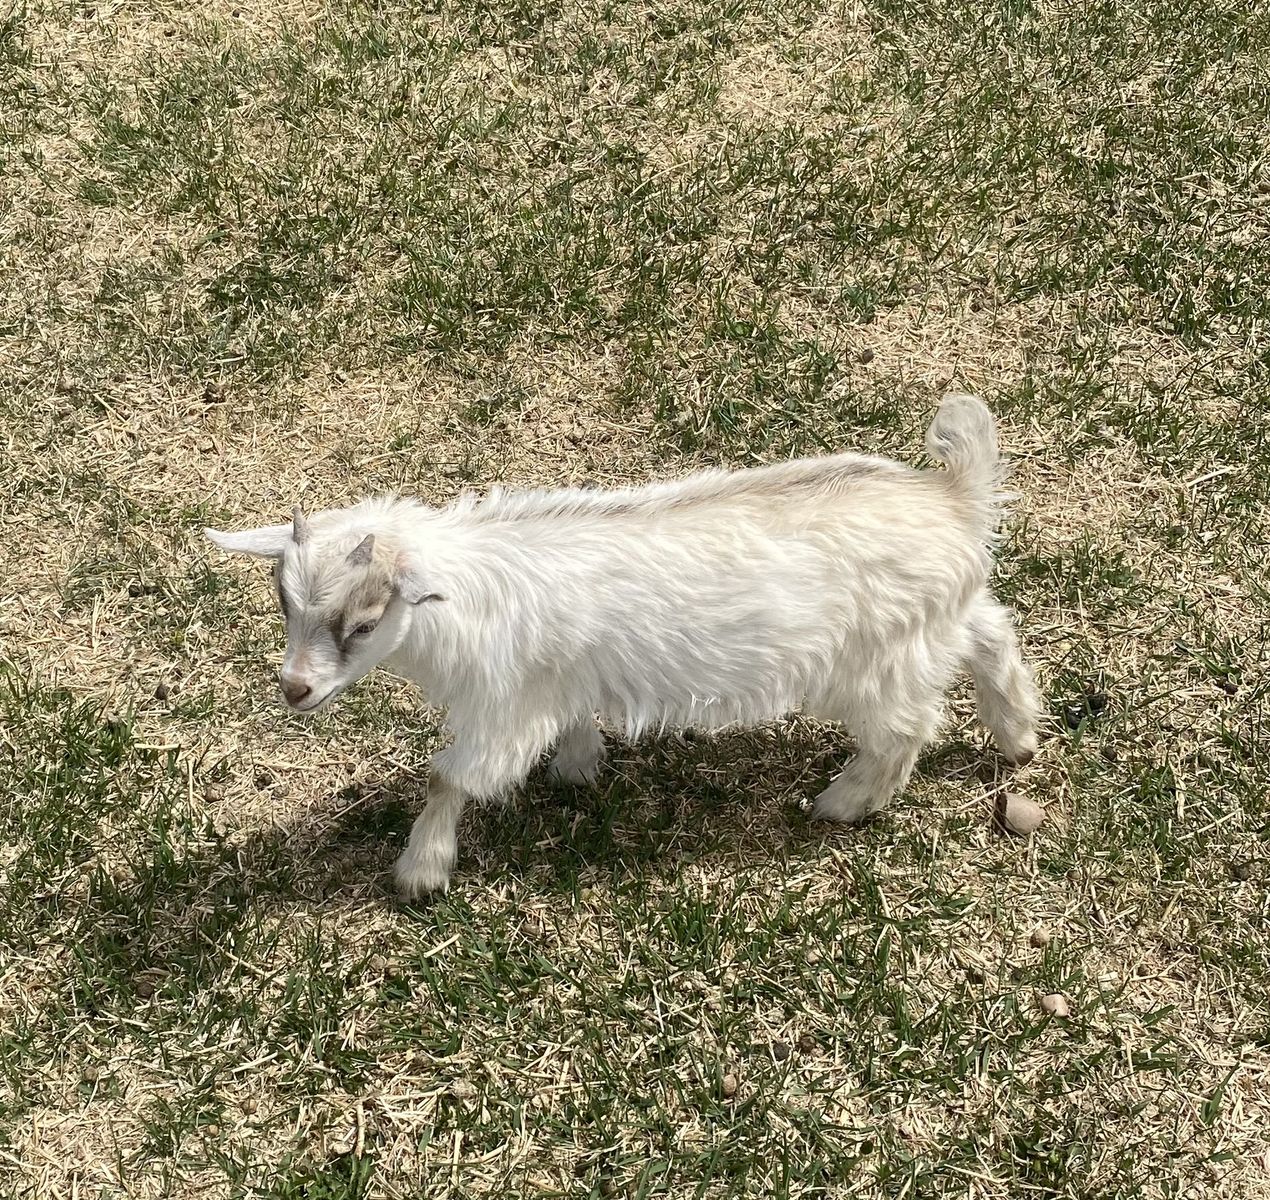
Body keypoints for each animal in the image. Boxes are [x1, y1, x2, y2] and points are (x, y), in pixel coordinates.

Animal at [206, 393, 1040, 896]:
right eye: (283, 604)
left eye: (364, 623)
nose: (295, 689)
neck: (457, 599)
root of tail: (952, 498)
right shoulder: (553, 680)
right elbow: (570, 718)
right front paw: (580, 765)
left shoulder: (503, 708)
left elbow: (452, 778)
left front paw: (420, 869)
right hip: (933, 618)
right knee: (990, 629)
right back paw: (1020, 731)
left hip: (878, 657)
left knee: (904, 728)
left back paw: (844, 801)